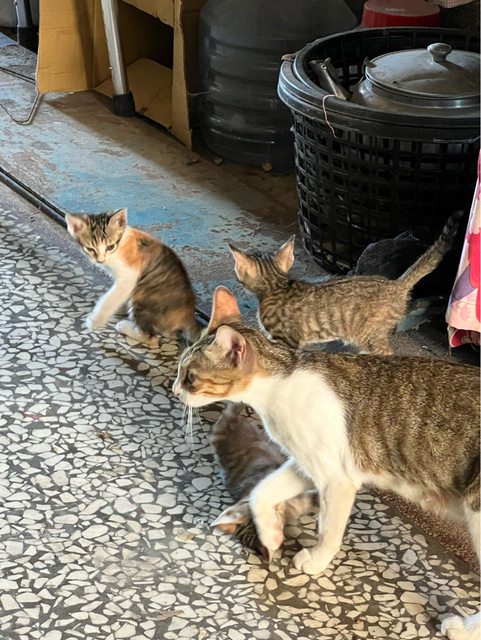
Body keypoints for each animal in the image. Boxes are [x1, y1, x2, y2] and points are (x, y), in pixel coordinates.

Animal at [66, 208, 200, 345]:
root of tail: (189, 313)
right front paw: (120, 307)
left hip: (144, 297)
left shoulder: (129, 275)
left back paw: (124, 326)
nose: (100, 260)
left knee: (152, 339)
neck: (119, 246)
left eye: (110, 246)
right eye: (90, 249)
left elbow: (112, 297)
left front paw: (95, 320)